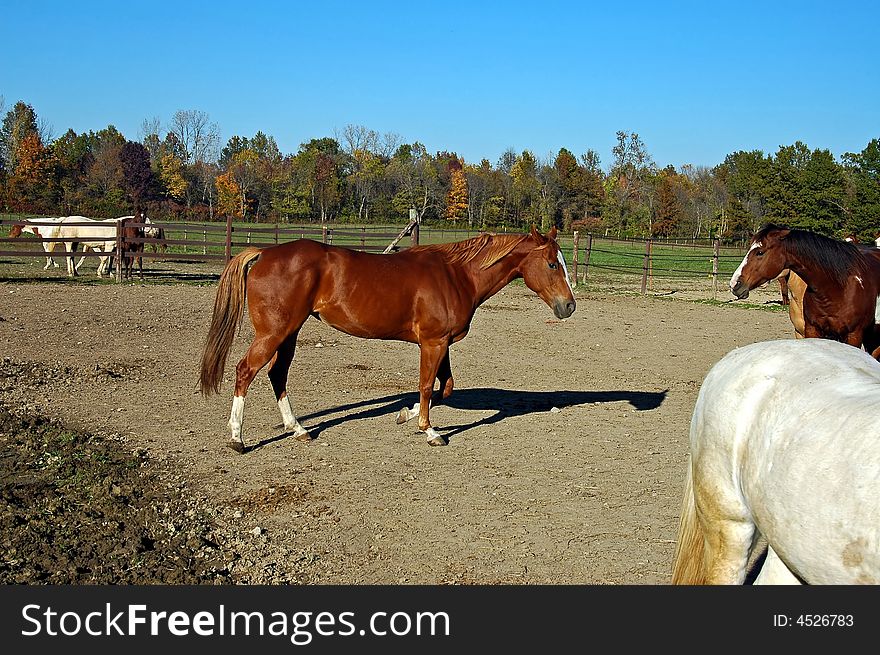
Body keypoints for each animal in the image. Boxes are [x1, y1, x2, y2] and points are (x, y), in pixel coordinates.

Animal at [198, 226, 576, 452]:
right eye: (551, 263)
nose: (568, 306)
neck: (457, 274)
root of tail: (264, 253)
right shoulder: (433, 343)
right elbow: (426, 386)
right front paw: (429, 431)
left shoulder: (442, 344)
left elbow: (445, 387)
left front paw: (405, 415)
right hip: (275, 333)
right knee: (245, 371)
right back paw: (237, 438)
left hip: (289, 333)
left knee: (277, 375)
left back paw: (299, 429)